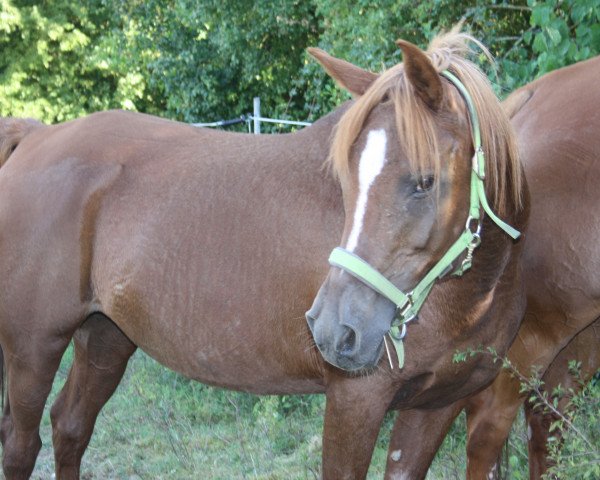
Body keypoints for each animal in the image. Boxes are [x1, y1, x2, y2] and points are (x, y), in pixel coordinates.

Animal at [0, 31, 528, 478]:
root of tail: (36, 136)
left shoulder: (435, 406)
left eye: (425, 181)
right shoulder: (355, 402)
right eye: (346, 179)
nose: (335, 328)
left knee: (70, 427)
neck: (464, 299)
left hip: (105, 337)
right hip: (34, 347)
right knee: (22, 444)